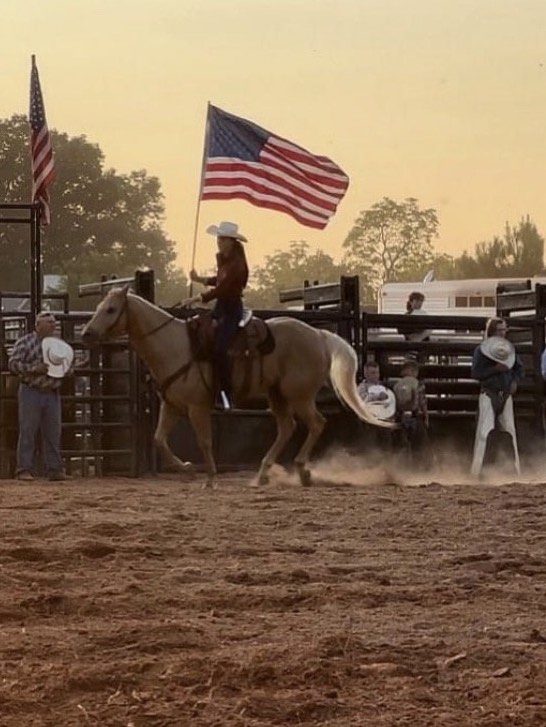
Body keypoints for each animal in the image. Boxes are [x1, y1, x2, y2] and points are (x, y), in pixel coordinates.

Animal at [82, 288, 392, 486]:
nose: (86, 333)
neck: (175, 346)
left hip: (299, 396)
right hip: (277, 396)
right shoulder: (172, 406)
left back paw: (302, 470)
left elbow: (205, 441)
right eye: (97, 308)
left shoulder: (197, 407)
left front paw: (209, 478)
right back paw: (263, 474)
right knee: (287, 427)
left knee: (316, 423)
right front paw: (187, 469)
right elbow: (159, 439)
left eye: (111, 309)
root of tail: (318, 334)